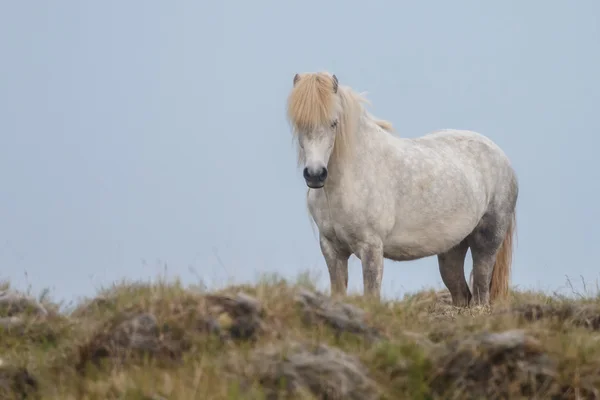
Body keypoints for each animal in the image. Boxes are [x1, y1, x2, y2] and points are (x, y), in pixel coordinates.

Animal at [284, 71, 516, 306]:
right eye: (299, 123)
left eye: (334, 123)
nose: (315, 174)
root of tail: (501, 156)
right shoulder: (332, 249)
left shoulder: (371, 248)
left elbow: (371, 295)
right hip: (452, 249)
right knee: (461, 294)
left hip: (487, 242)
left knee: (480, 293)